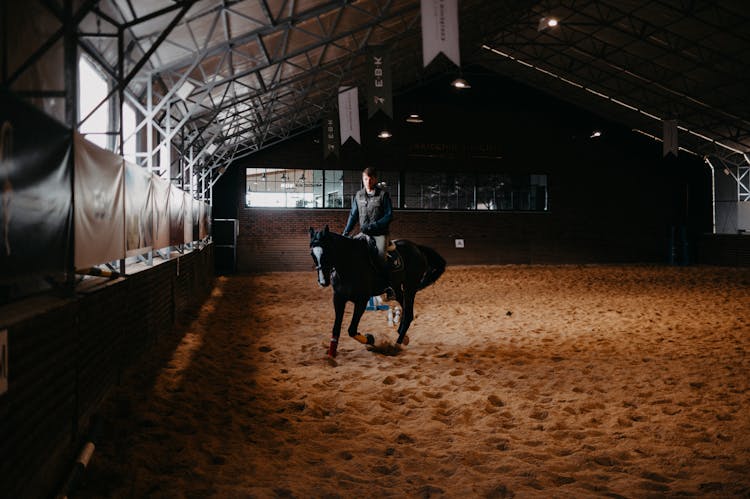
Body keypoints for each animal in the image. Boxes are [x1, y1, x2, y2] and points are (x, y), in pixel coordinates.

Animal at [310, 227, 446, 360]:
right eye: (312, 254)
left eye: (327, 251)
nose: (323, 281)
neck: (350, 264)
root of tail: (417, 247)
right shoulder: (338, 298)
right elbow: (336, 328)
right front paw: (331, 354)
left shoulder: (362, 301)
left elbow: (352, 330)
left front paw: (371, 339)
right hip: (398, 289)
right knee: (406, 311)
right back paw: (403, 336)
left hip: (410, 287)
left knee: (408, 315)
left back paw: (396, 345)